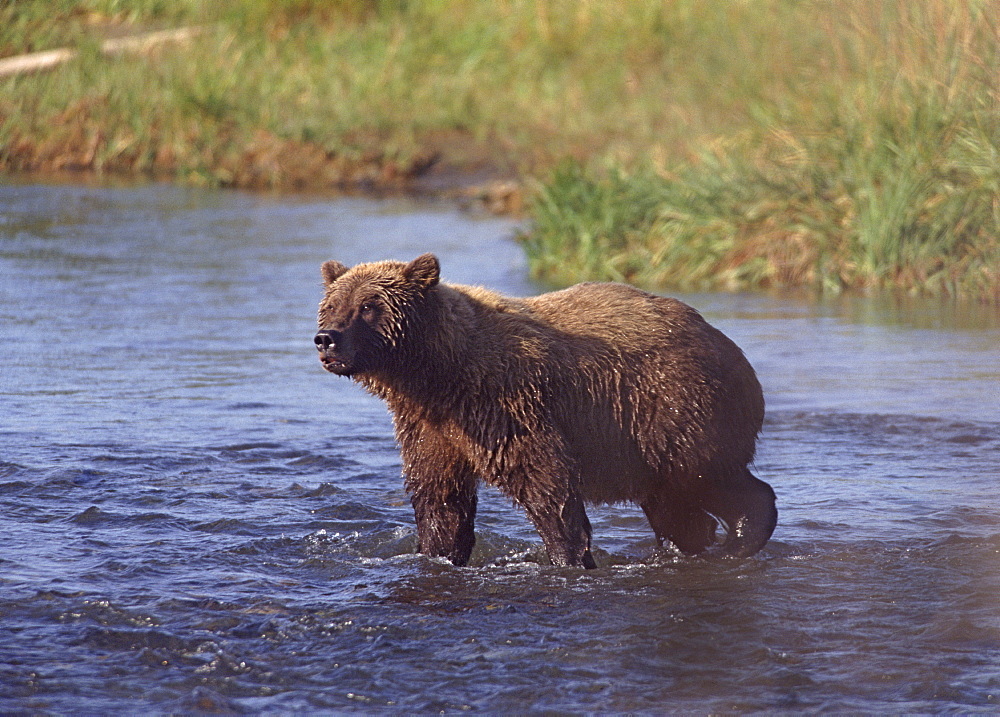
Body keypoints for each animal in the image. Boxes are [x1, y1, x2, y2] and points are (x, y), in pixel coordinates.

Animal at [316, 255, 776, 568]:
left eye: (369, 305)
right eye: (334, 304)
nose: (326, 338)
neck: (437, 373)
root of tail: (728, 344)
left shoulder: (504, 404)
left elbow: (543, 482)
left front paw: (569, 557)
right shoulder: (432, 425)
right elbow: (439, 496)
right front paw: (438, 552)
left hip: (671, 408)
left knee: (703, 476)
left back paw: (738, 539)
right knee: (673, 503)